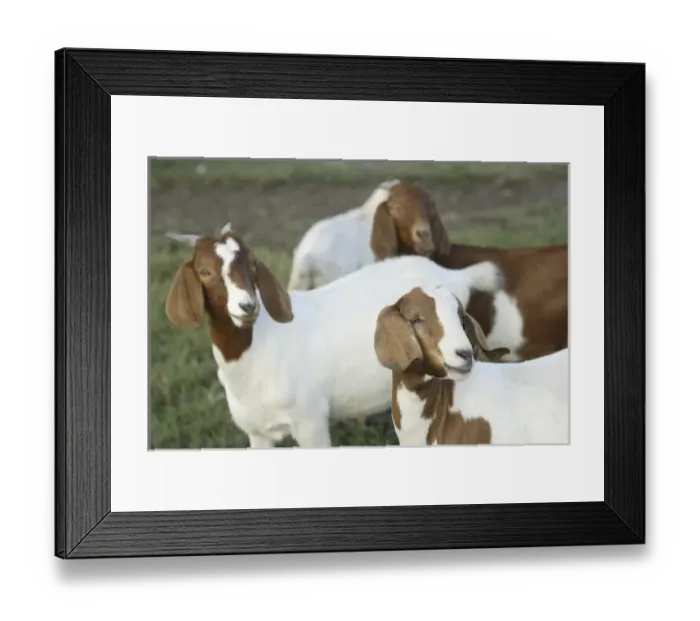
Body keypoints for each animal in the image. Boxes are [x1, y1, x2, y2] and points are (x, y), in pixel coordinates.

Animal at [164, 223, 512, 449]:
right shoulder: (256, 432)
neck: (261, 346)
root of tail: (458, 276)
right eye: (205, 272)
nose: (247, 306)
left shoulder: (310, 421)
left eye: (251, 265)